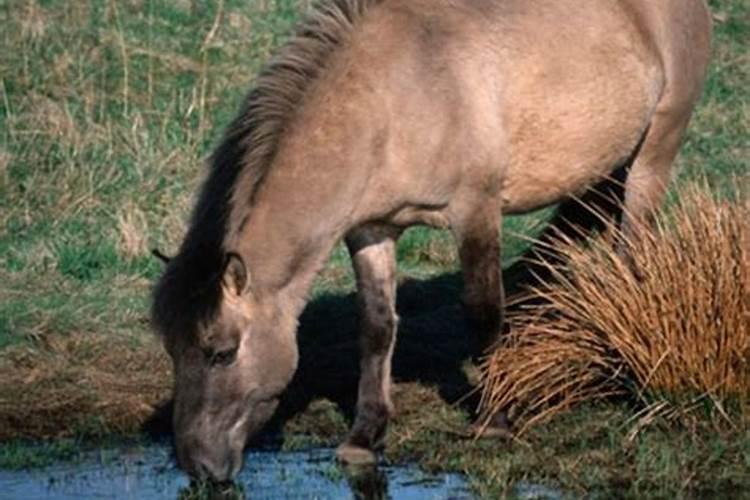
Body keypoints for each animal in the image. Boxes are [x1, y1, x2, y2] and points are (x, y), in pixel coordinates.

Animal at [151, 0, 712, 482]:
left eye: (221, 352)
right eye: (173, 351)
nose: (198, 465)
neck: (396, 95)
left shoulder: (476, 211)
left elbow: (483, 312)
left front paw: (494, 421)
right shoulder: (371, 231)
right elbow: (377, 328)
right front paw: (365, 436)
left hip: (655, 153)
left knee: (632, 253)